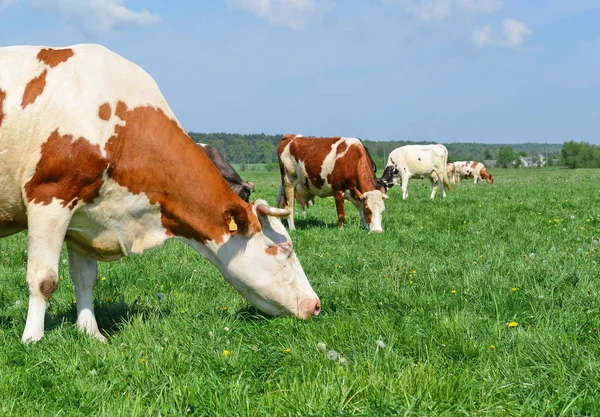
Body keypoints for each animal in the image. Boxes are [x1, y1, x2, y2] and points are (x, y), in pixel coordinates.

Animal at [0, 46, 322, 344]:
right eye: (285, 248)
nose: (316, 305)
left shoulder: (84, 217)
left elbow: (85, 279)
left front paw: (92, 334)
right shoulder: (49, 197)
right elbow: (44, 279)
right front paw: (32, 340)